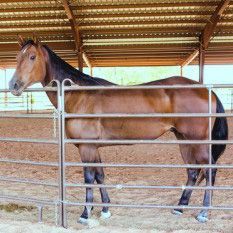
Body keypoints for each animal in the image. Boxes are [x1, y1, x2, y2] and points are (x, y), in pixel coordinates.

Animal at [8, 37, 228, 224]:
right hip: (183, 139)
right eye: (17, 57)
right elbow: (100, 175)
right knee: (193, 171)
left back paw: (203, 213)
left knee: (210, 170)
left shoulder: (86, 147)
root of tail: (206, 90)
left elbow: (89, 178)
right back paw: (179, 207)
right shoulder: (93, 147)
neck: (79, 95)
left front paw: (85, 214)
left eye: (32, 57)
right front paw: (105, 209)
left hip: (198, 141)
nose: (13, 85)